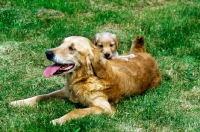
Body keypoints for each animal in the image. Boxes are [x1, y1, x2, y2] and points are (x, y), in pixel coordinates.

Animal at [10, 35, 162, 125]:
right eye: (61, 44)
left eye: (72, 48)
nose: (48, 53)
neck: (84, 79)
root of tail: (143, 53)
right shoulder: (65, 92)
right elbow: (41, 96)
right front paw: (18, 102)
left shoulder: (105, 108)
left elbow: (76, 111)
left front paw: (58, 120)